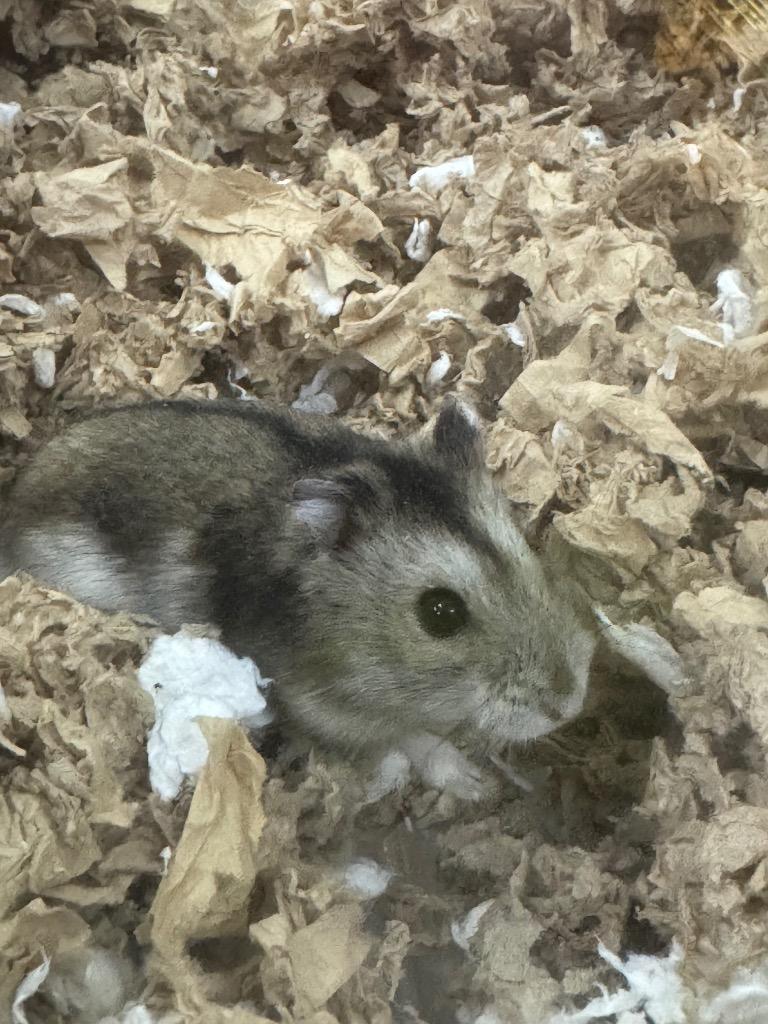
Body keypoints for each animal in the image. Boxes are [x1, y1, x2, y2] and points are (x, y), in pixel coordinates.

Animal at [0, 398, 597, 798]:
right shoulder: (315, 706)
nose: (568, 705)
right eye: (440, 613)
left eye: (526, 550)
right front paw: (475, 784)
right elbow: (411, 739)